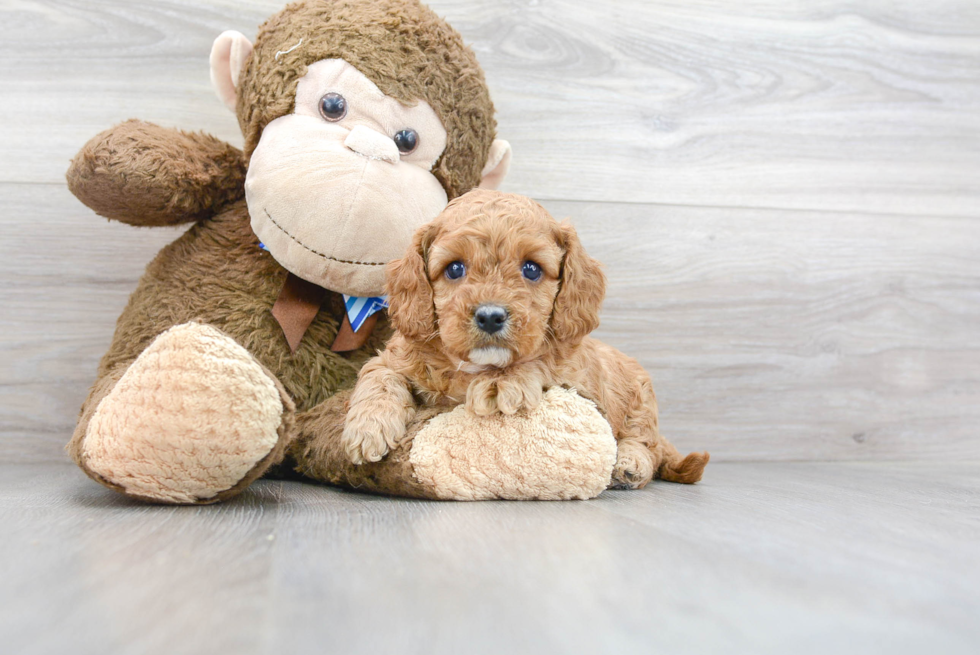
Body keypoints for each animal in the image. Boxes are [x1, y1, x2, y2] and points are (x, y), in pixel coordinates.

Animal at [340, 188, 708, 486]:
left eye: (531, 269)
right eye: (454, 268)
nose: (490, 316)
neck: (474, 367)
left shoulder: (576, 376)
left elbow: (542, 359)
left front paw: (502, 383)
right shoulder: (396, 357)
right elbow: (379, 376)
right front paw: (367, 428)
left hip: (641, 401)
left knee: (648, 444)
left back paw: (631, 464)